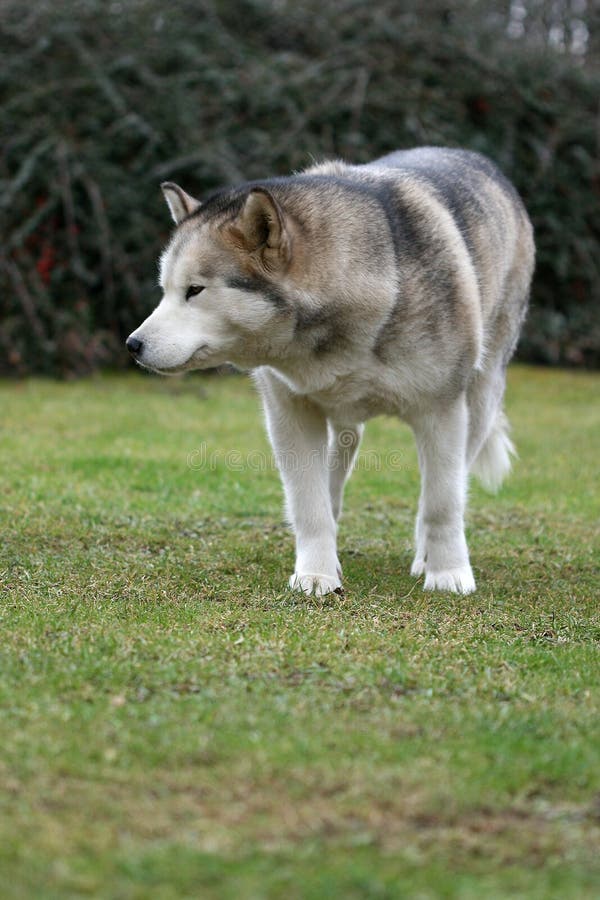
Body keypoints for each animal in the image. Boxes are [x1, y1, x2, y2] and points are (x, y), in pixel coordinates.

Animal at [126, 149, 536, 596]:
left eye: (195, 290)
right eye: (166, 289)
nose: (133, 344)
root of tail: (476, 158)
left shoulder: (441, 411)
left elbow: (442, 502)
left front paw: (447, 573)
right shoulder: (290, 414)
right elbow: (310, 503)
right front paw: (317, 574)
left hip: (480, 398)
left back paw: (427, 556)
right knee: (337, 468)